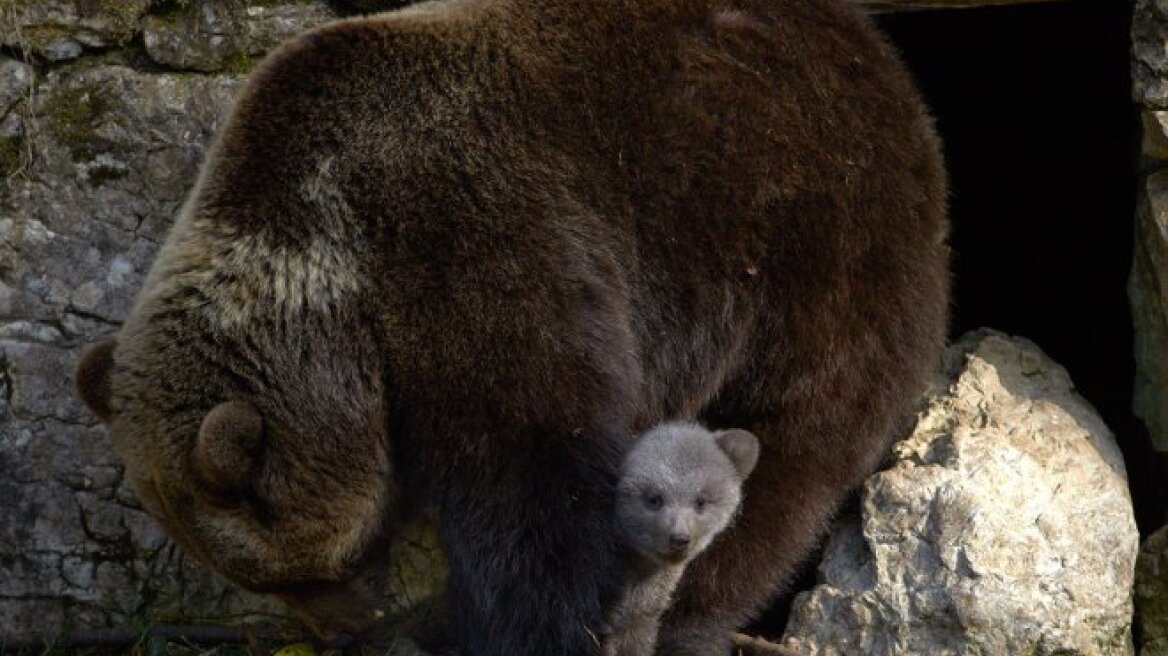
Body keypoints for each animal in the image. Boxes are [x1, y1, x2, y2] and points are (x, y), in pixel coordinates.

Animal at [73, 0, 948, 648]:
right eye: (264, 579)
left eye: (313, 569)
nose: (350, 630)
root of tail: (881, 56)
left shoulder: (474, 238)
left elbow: (535, 465)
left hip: (813, 237)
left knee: (793, 445)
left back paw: (692, 610)